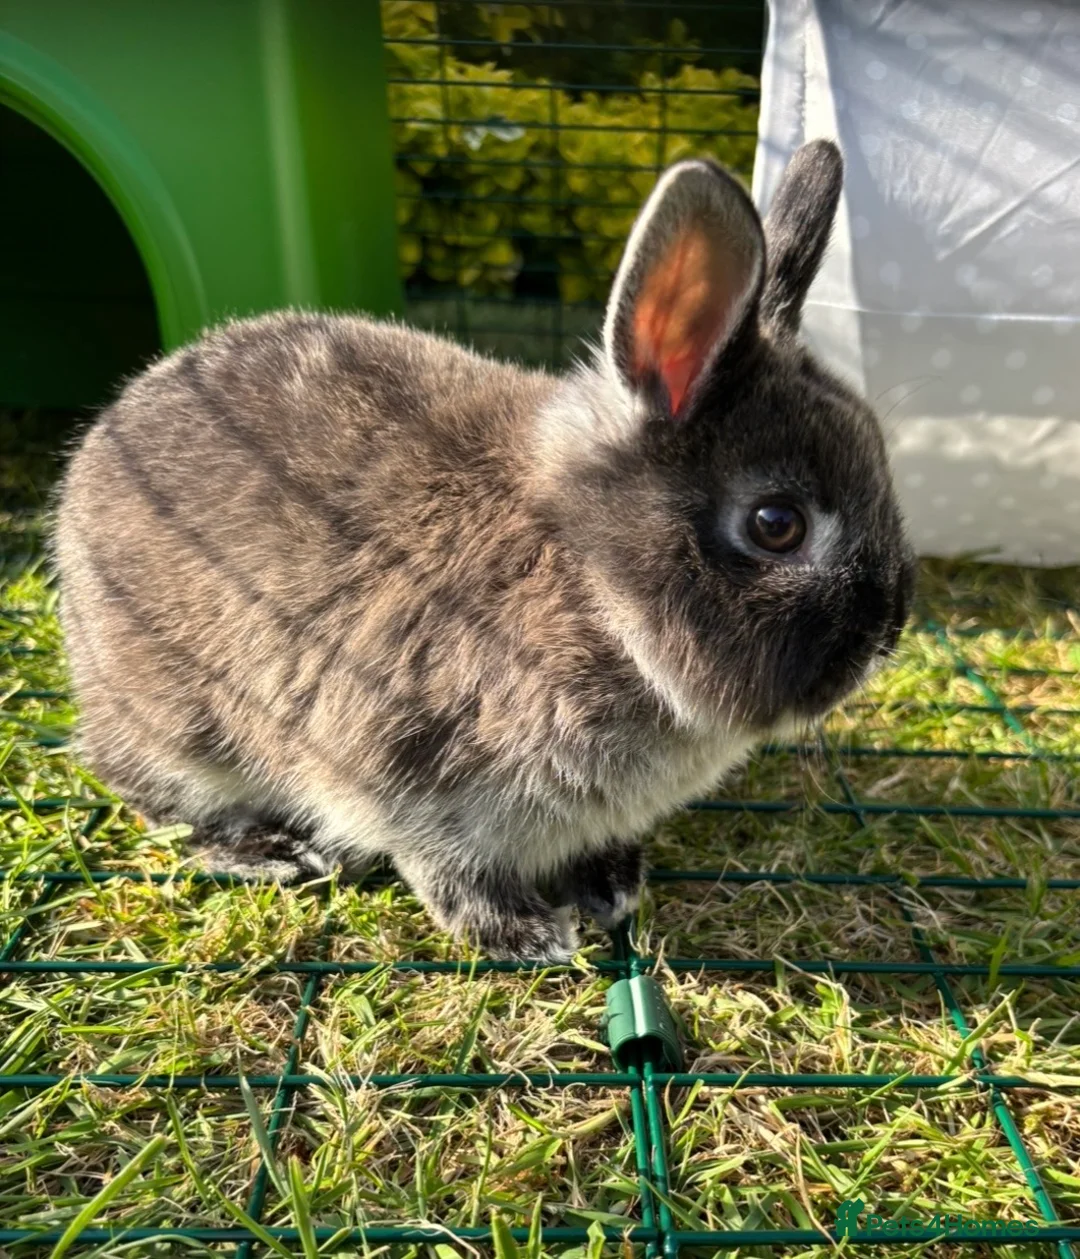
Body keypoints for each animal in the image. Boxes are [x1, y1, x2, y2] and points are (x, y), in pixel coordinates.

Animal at [54, 139, 915, 961]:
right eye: (777, 523)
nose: (891, 630)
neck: (592, 589)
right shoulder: (405, 765)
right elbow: (442, 866)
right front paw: (522, 934)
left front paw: (611, 883)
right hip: (180, 726)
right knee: (149, 791)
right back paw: (265, 849)